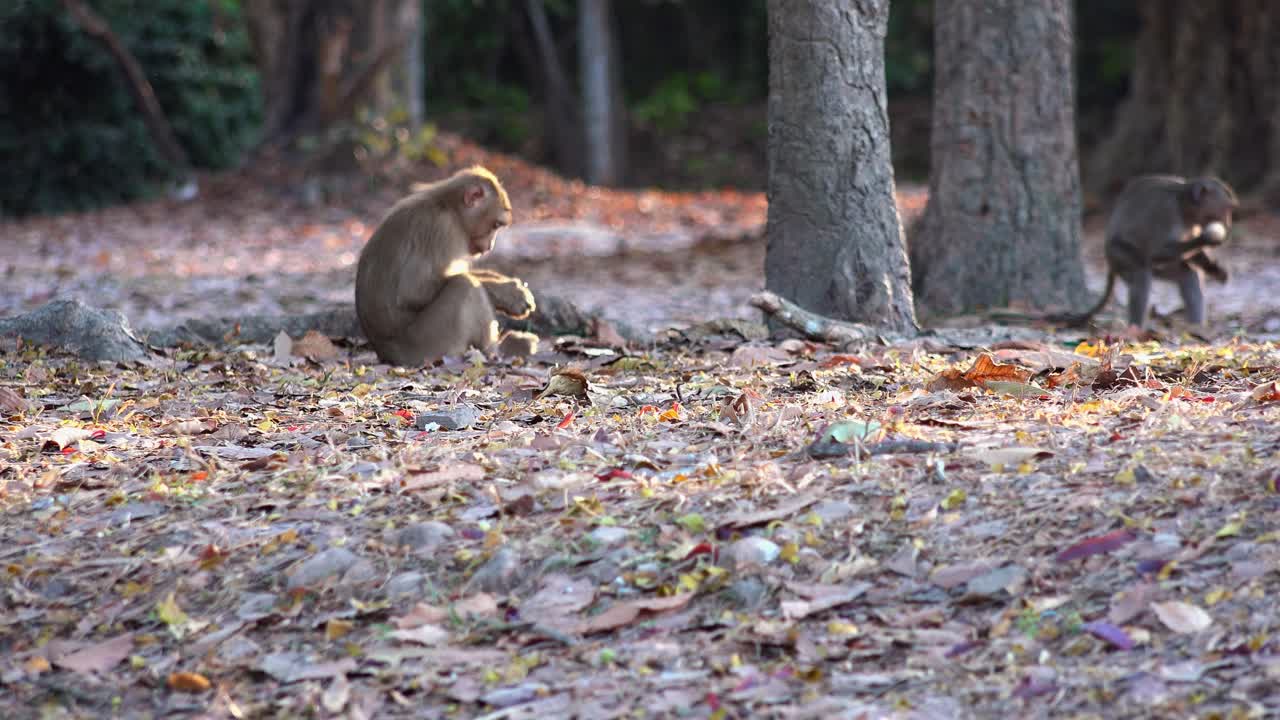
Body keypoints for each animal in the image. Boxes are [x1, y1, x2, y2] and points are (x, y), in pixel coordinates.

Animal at [354, 166, 540, 366]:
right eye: (496, 225)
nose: (490, 246)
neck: (449, 207)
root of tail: (386, 354)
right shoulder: (441, 229)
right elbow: (414, 292)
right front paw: (508, 293)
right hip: (429, 344)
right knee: (465, 286)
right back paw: (497, 352)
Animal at [1068, 174, 1237, 329]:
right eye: (1226, 209)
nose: (1228, 224)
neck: (1184, 207)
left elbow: (1192, 257)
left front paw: (1214, 269)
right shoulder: (1167, 213)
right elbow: (1158, 251)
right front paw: (1206, 239)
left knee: (1187, 273)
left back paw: (1197, 327)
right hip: (1119, 253)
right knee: (1141, 274)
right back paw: (1135, 329)